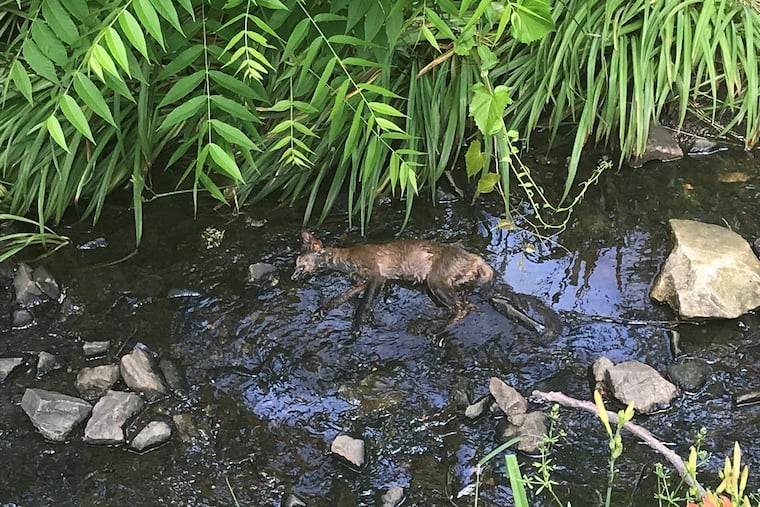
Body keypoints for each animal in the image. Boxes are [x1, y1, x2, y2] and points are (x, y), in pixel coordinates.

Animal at [292, 230, 556, 336]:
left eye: (299, 264)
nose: (293, 277)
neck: (346, 260)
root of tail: (477, 259)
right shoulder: (360, 282)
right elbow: (338, 299)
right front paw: (319, 311)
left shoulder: (377, 275)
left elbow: (363, 306)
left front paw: (356, 328)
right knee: (467, 305)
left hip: (436, 281)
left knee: (463, 308)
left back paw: (437, 331)